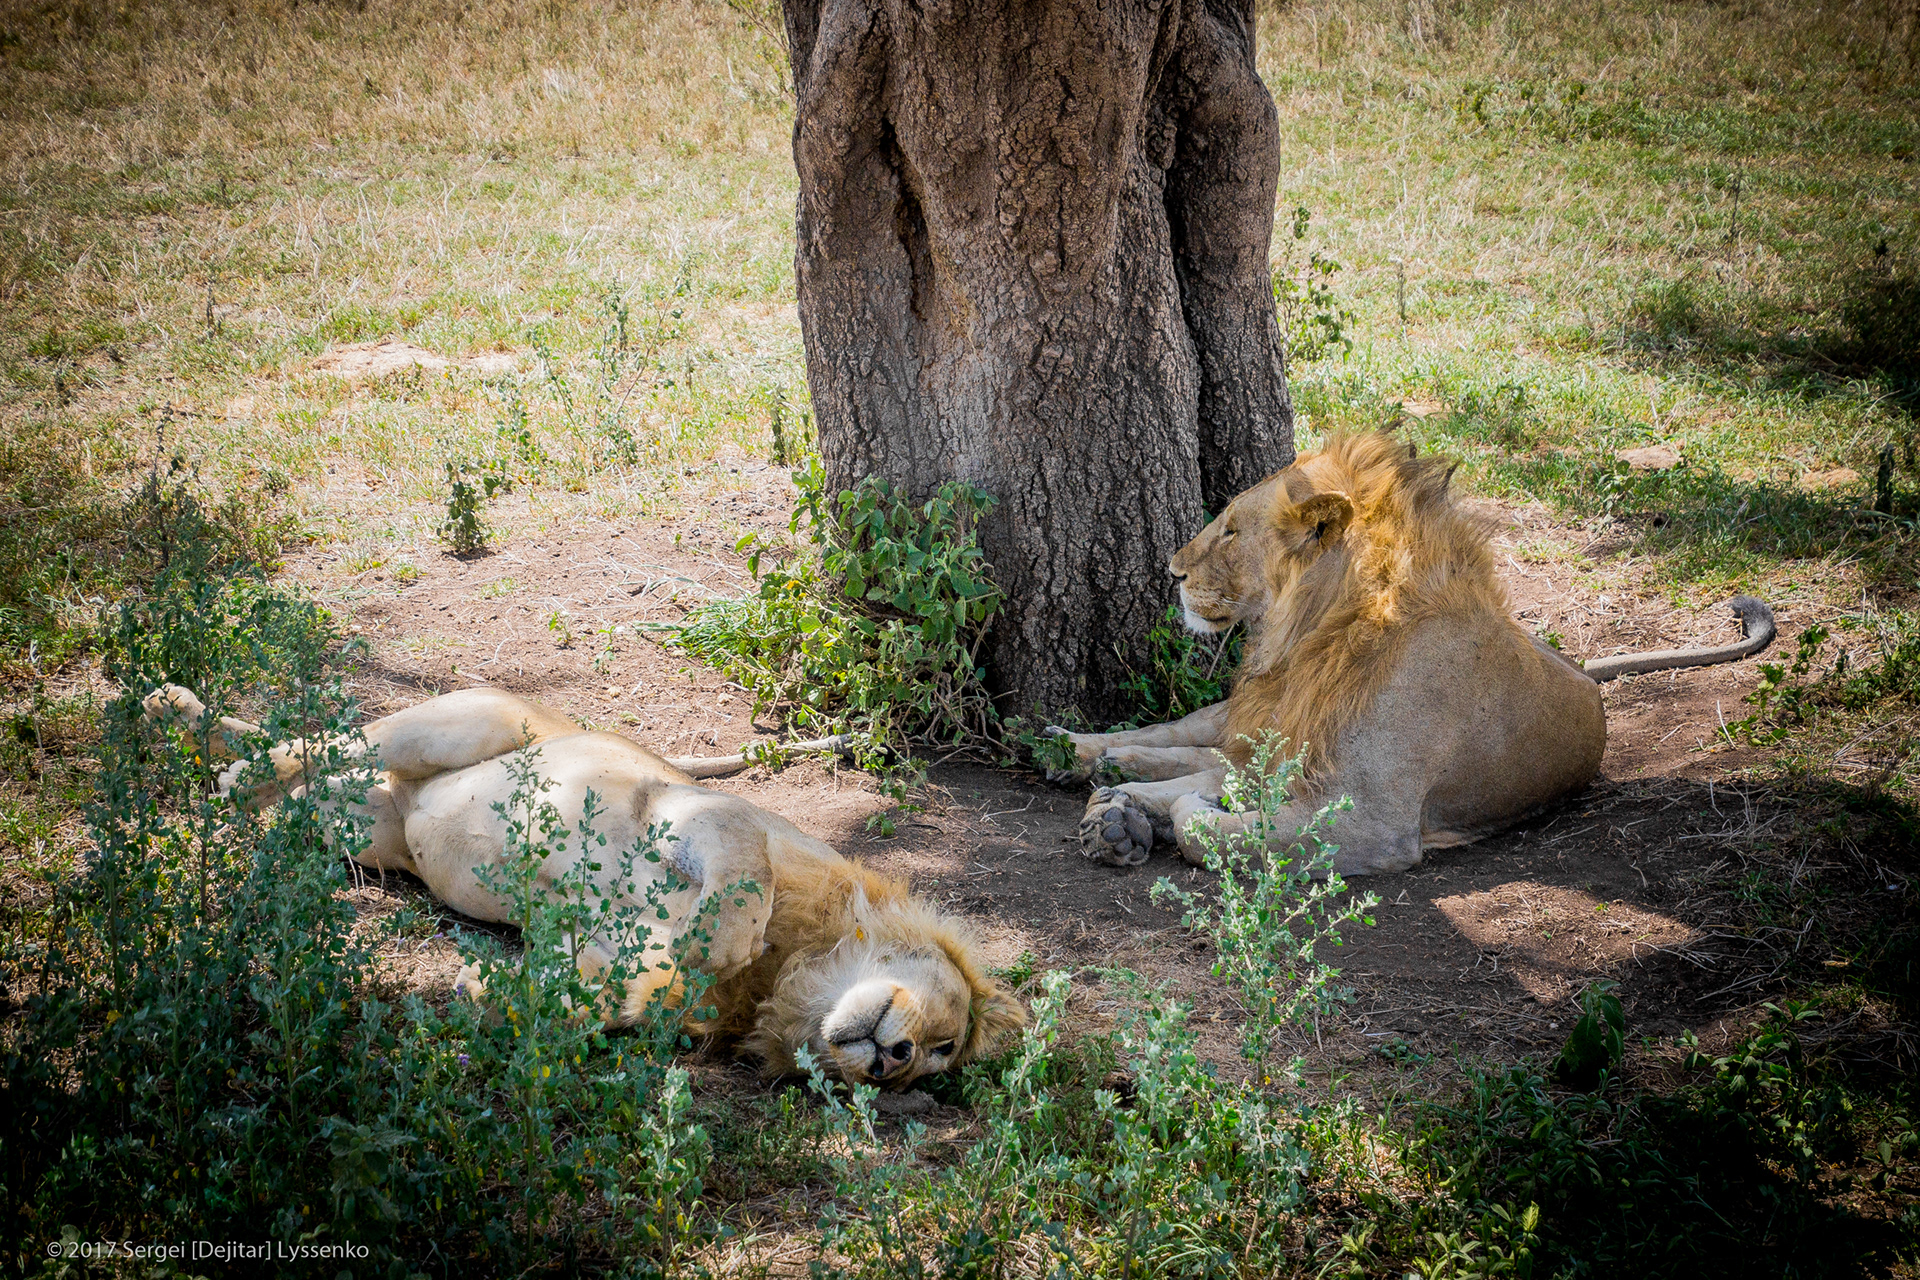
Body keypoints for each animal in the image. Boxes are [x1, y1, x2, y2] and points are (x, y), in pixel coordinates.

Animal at [142, 687, 1029, 1090]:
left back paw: (197, 737)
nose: (893, 1058)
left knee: (307, 770)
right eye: (943, 1036)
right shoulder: (701, 814)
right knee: (320, 738)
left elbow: (587, 994)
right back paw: (193, 732)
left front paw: (487, 991)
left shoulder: (602, 952)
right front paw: (711, 941)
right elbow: (740, 886)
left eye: (932, 1065)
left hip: (351, 826)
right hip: (471, 719)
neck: (789, 975)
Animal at [1052, 435, 1766, 875]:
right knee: (1186, 733)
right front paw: (1120, 808)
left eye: (1230, 530)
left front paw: (1149, 813)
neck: (1319, 635)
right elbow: (1206, 775)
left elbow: (1206, 822)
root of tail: (1579, 667)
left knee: (1211, 755)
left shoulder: (1370, 823)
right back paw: (1079, 751)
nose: (1170, 571)